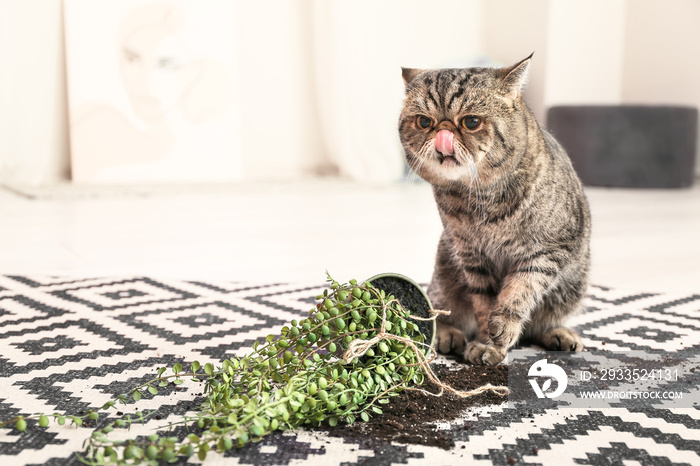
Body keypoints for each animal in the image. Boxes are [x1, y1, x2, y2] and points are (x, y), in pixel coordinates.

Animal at [400, 54, 592, 366]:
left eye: (471, 122)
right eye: (424, 121)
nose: (443, 134)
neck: (480, 199)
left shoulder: (546, 252)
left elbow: (518, 293)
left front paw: (499, 333)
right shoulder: (471, 256)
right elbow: (483, 303)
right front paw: (486, 342)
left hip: (572, 287)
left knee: (540, 323)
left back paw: (559, 334)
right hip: (445, 273)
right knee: (440, 308)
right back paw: (447, 334)